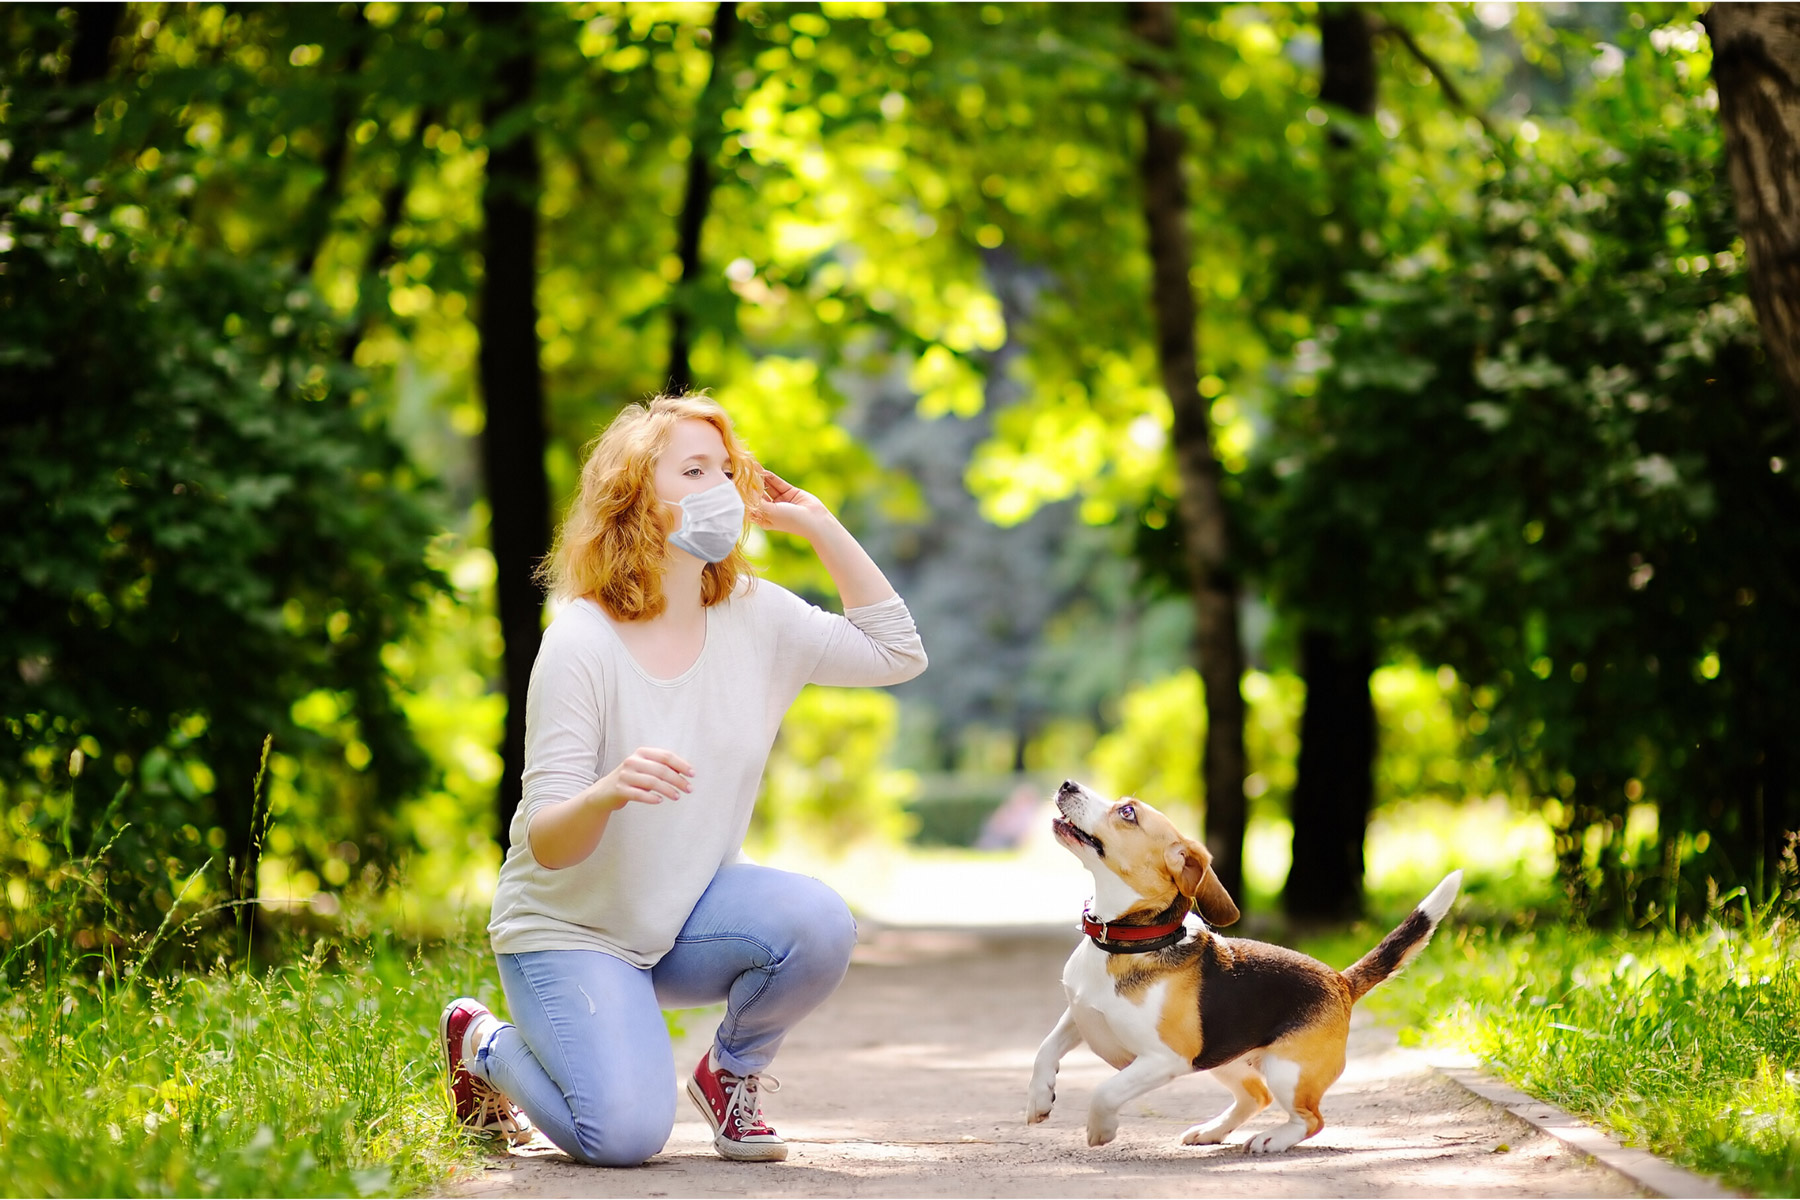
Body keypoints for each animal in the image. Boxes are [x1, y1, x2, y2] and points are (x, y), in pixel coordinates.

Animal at [1029, 780, 1461, 1151]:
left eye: (1128, 812)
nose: (1068, 784)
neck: (1123, 941)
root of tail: (1340, 980)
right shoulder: (1079, 1015)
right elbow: (1045, 1049)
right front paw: (1039, 1097)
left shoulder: (1164, 1059)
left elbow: (1106, 1090)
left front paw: (1101, 1128)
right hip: (1224, 1058)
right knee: (1257, 1095)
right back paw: (1211, 1131)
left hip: (1285, 1070)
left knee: (1310, 1118)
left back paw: (1273, 1139)